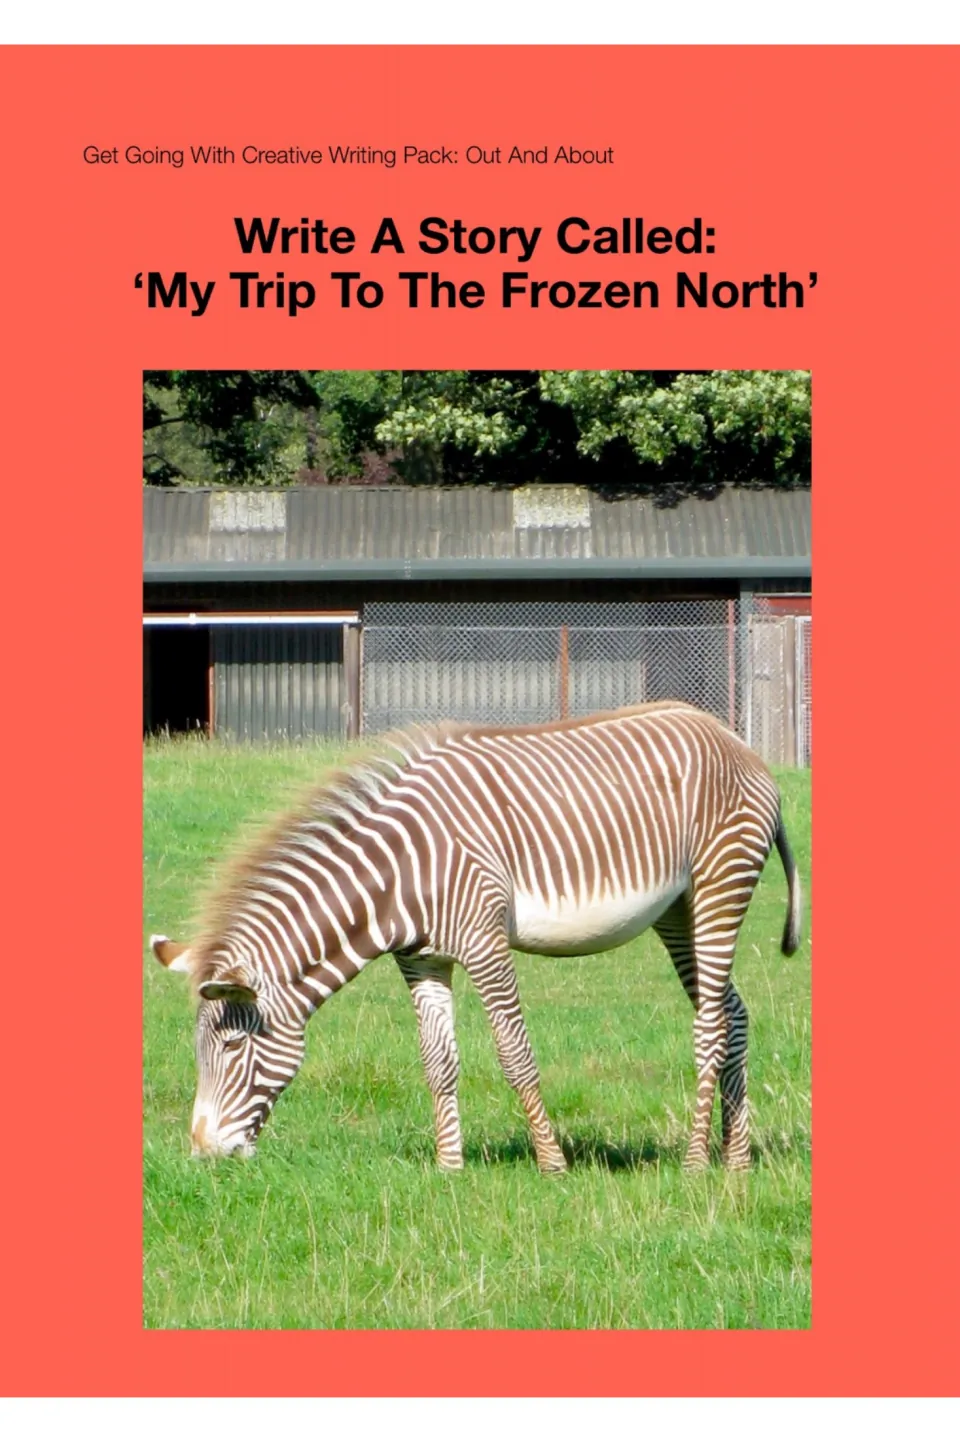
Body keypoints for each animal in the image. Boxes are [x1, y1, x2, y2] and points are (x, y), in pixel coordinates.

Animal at [151, 701, 802, 1173]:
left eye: (233, 1047)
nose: (203, 1154)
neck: (396, 876)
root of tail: (736, 742)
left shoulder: (485, 941)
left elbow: (514, 1053)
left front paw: (551, 1164)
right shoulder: (421, 960)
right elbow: (438, 1060)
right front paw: (450, 1167)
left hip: (720, 884)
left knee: (710, 1023)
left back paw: (694, 1164)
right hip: (678, 909)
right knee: (733, 1012)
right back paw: (736, 1160)